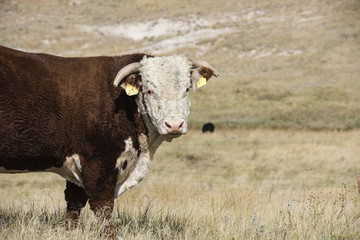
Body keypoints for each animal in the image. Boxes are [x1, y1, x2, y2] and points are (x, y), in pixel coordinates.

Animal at [0, 45, 219, 234]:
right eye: (149, 90)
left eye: (187, 89)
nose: (174, 125)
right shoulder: (98, 164)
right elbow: (103, 208)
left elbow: (74, 204)